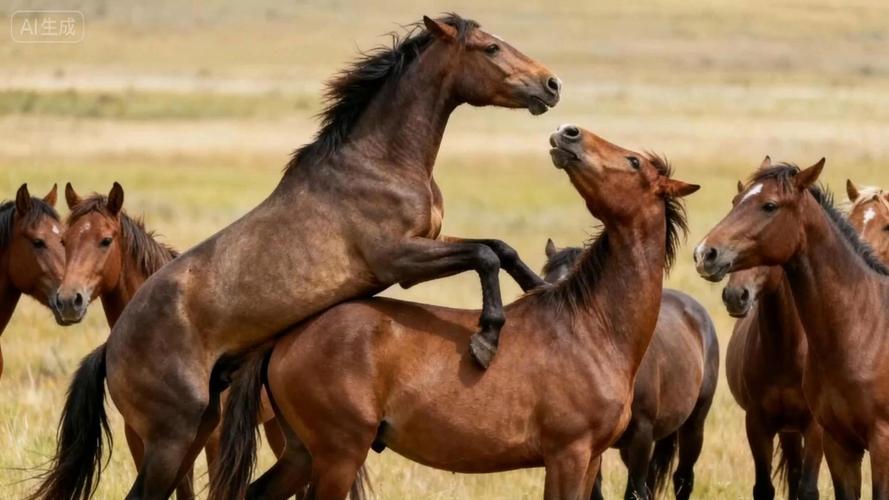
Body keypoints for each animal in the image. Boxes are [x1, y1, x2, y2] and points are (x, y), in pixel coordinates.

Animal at [212, 125, 699, 500]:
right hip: (338, 456)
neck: (590, 328)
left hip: (302, 454)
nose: (568, 133)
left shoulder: (590, 458)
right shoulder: (567, 455)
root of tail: (285, 338)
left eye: (634, 162)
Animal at [695, 158, 889, 499]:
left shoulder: (877, 442)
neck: (864, 329)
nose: (705, 253)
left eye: (769, 205)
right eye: (736, 201)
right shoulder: (837, 444)